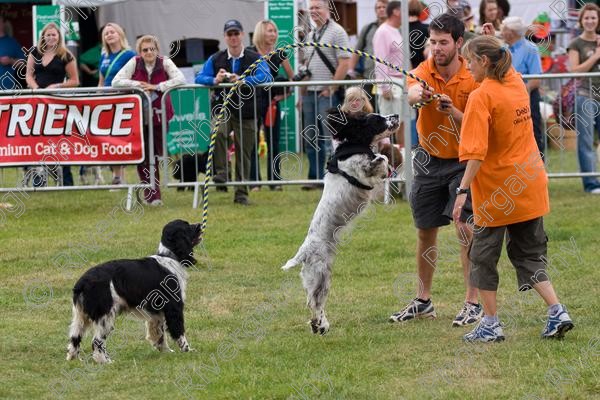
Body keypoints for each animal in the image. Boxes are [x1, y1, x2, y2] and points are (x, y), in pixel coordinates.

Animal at [66, 219, 202, 362]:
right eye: (187, 225)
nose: (200, 224)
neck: (169, 257)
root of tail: (82, 283)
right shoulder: (174, 306)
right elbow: (178, 330)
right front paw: (187, 350)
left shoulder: (156, 311)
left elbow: (159, 333)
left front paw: (165, 351)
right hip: (106, 316)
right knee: (97, 341)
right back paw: (106, 361)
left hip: (80, 317)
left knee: (74, 339)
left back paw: (73, 359)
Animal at [282, 109, 398, 334]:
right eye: (377, 119)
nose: (396, 116)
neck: (353, 144)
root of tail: (303, 253)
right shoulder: (362, 168)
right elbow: (380, 158)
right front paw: (383, 164)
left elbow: (382, 158)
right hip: (321, 274)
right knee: (315, 302)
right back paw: (320, 325)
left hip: (317, 276)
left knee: (313, 302)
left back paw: (320, 325)